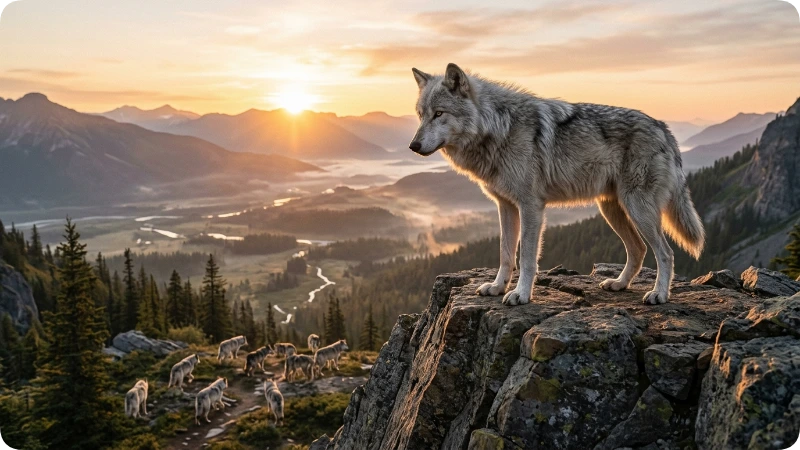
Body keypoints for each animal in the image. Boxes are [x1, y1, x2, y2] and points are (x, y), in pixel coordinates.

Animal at [409, 64, 704, 305]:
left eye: (439, 113)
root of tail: (662, 127)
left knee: (665, 253)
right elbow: (506, 254)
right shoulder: (506, 206)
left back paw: (659, 295)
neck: (499, 127)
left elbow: (527, 257)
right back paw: (619, 284)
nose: (413, 145)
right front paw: (497, 287)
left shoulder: (531, 207)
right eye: (421, 115)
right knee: (638, 249)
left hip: (637, 209)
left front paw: (520, 294)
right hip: (612, 210)